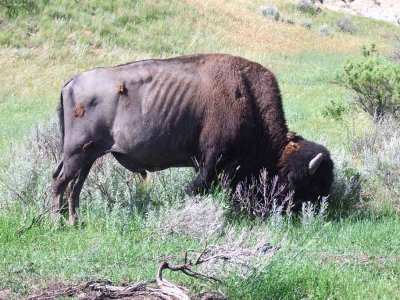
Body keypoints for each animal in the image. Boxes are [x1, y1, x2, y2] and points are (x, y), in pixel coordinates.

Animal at [53, 52, 334, 224]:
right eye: (310, 186)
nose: (313, 215)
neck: (248, 99)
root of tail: (70, 82)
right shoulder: (212, 162)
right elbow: (198, 187)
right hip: (78, 153)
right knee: (60, 182)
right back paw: (58, 223)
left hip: (87, 156)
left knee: (73, 185)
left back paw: (74, 221)